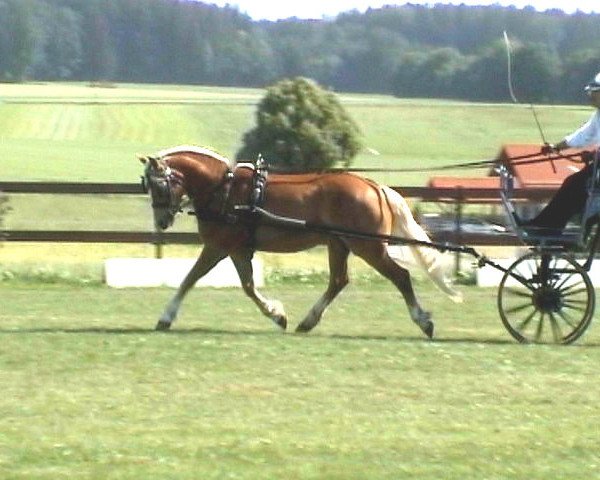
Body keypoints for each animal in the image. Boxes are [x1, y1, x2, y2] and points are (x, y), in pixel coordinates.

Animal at [139, 146, 460, 338]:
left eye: (159, 185)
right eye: (147, 185)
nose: (161, 222)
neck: (225, 189)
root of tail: (374, 186)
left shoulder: (219, 246)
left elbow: (190, 278)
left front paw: (166, 317)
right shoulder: (238, 249)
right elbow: (248, 286)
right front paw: (277, 315)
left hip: (367, 246)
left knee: (400, 276)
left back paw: (423, 321)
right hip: (339, 244)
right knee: (338, 281)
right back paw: (308, 321)